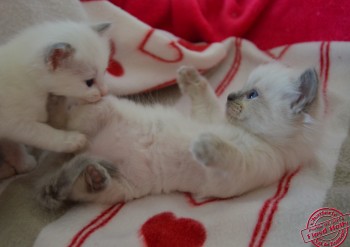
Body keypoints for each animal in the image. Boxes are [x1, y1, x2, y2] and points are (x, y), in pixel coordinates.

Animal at [0, 20, 110, 154]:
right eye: (89, 82)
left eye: (104, 72)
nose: (105, 92)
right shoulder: (14, 122)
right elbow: (43, 133)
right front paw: (72, 140)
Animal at [37, 62, 322, 208]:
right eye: (242, 89)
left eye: (252, 95)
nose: (230, 96)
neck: (247, 133)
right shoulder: (208, 118)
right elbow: (205, 98)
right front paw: (189, 76)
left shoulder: (234, 175)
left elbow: (229, 153)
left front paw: (205, 144)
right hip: (99, 115)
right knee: (64, 126)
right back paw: (55, 100)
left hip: (120, 186)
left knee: (73, 150)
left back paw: (94, 175)